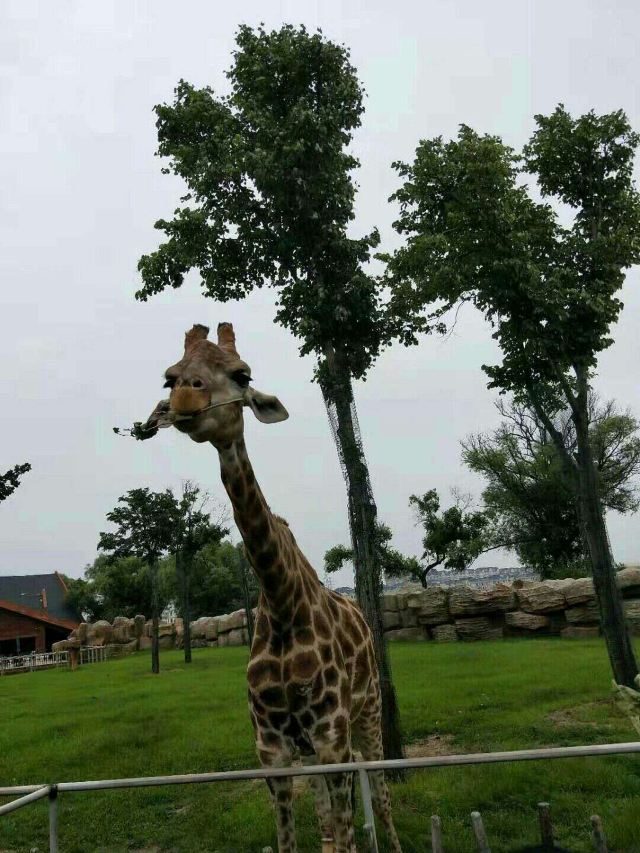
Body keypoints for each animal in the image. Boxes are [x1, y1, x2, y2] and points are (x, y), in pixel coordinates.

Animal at [141, 322, 400, 848]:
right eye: (169, 377)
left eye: (242, 375)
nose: (185, 398)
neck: (281, 603)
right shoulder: (273, 749)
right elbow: (296, 837)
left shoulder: (331, 737)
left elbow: (346, 832)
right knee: (328, 817)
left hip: (366, 713)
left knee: (381, 792)